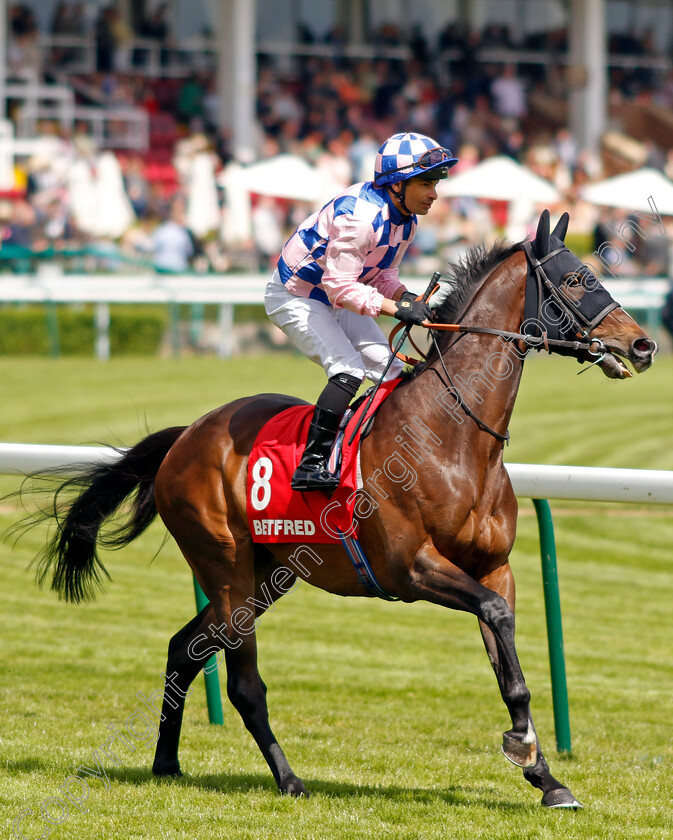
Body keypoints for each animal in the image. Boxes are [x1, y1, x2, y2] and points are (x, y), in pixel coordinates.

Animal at [22, 210, 656, 808]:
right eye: (575, 279)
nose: (643, 345)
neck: (453, 437)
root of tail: (186, 436)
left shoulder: (495, 569)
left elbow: (509, 665)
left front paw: (545, 776)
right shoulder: (412, 568)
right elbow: (496, 619)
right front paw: (524, 749)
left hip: (268, 573)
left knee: (186, 648)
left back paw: (165, 762)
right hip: (225, 565)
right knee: (243, 682)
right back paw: (288, 779)